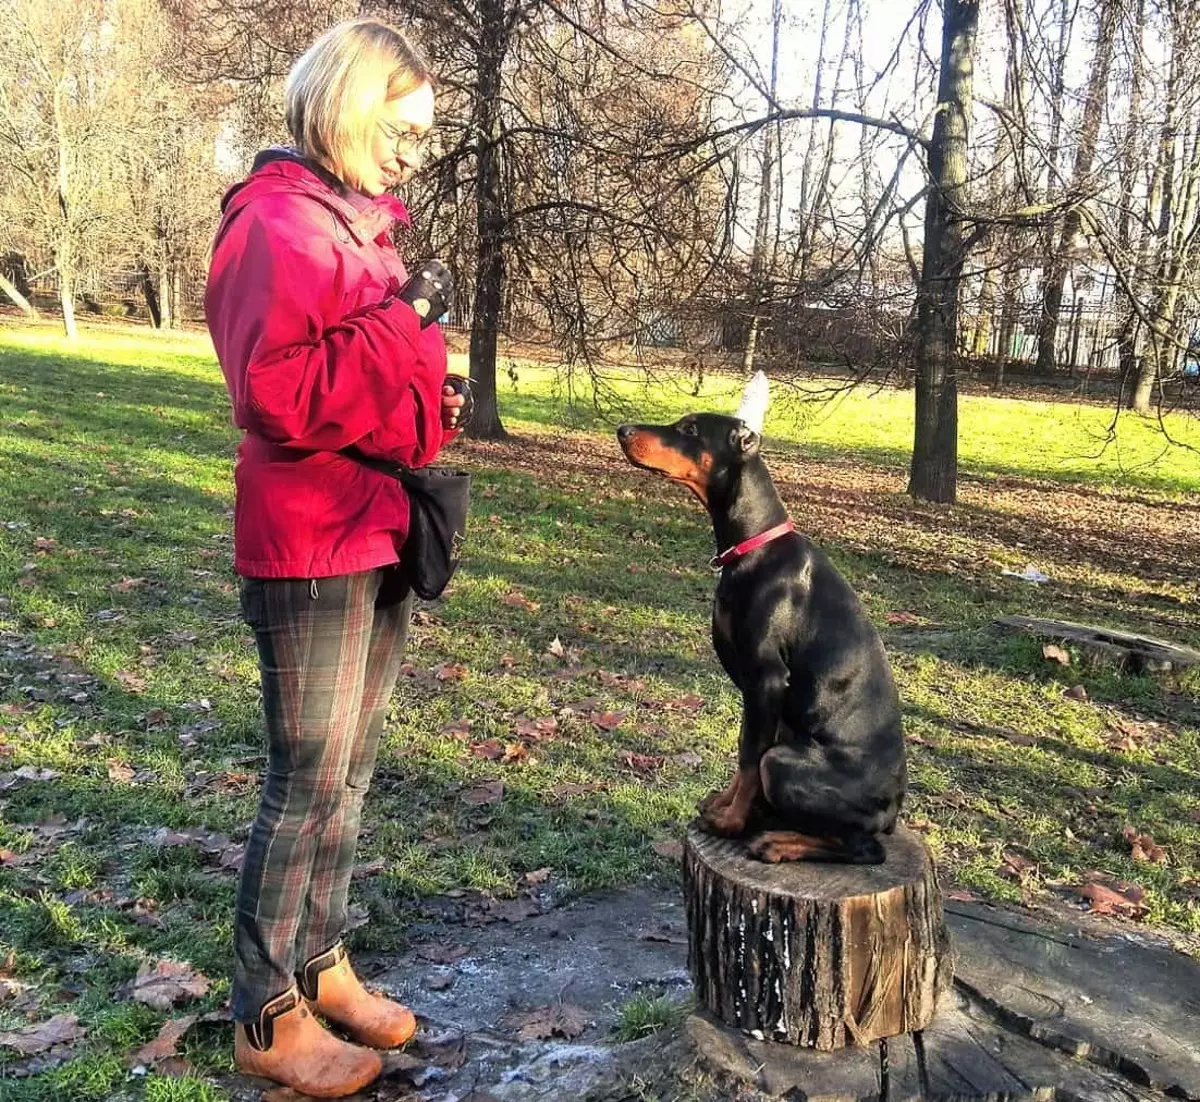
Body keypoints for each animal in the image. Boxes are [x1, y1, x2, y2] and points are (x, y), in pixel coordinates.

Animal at [619, 410, 902, 869]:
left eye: (690, 429)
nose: (622, 431)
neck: (754, 545)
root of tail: (894, 812)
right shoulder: (755, 693)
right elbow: (743, 748)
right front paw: (725, 804)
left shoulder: (766, 679)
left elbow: (750, 756)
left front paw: (732, 820)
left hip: (785, 762)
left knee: (865, 848)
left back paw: (778, 843)